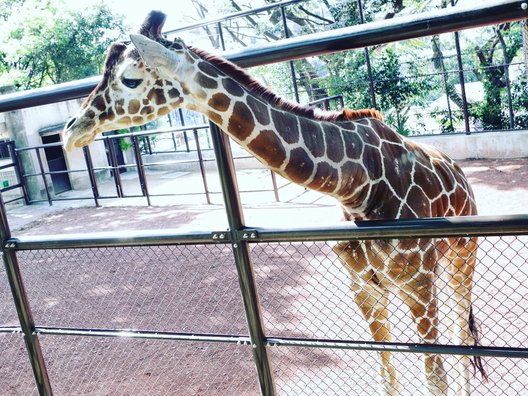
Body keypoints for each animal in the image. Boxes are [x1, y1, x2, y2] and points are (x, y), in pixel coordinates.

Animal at [62, 10, 486, 394]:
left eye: (130, 80)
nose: (71, 131)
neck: (358, 185)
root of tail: (463, 178)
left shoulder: (418, 283)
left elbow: (435, 376)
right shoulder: (364, 287)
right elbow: (386, 371)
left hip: (462, 256)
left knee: (462, 335)